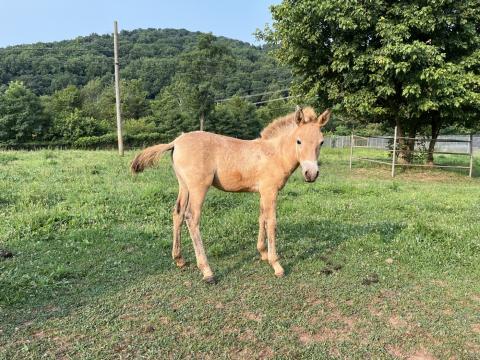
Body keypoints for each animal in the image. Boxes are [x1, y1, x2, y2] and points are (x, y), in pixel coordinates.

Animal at [133, 107, 332, 284]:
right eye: (298, 141)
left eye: (321, 142)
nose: (311, 174)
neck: (274, 154)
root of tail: (175, 142)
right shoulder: (270, 191)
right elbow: (271, 222)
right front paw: (276, 265)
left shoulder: (262, 192)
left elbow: (261, 218)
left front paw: (262, 253)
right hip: (198, 187)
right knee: (192, 217)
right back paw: (207, 271)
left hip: (184, 186)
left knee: (178, 213)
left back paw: (179, 259)